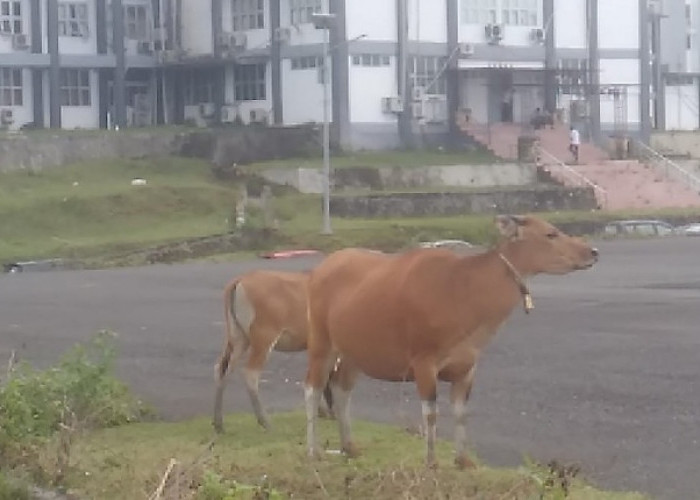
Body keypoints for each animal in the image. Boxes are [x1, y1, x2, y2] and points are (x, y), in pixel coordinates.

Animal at [212, 270, 332, 434]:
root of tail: (240, 280)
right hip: (263, 339)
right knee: (250, 374)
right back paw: (265, 422)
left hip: (238, 338)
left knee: (222, 369)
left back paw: (219, 423)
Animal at [304, 215, 600, 468]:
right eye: (551, 233)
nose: (593, 251)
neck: (460, 293)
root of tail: (320, 269)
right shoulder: (423, 361)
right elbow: (431, 413)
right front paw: (431, 462)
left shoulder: (468, 366)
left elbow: (460, 413)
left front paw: (463, 460)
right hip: (320, 342)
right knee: (312, 390)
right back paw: (314, 450)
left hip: (353, 352)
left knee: (341, 389)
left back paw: (349, 447)